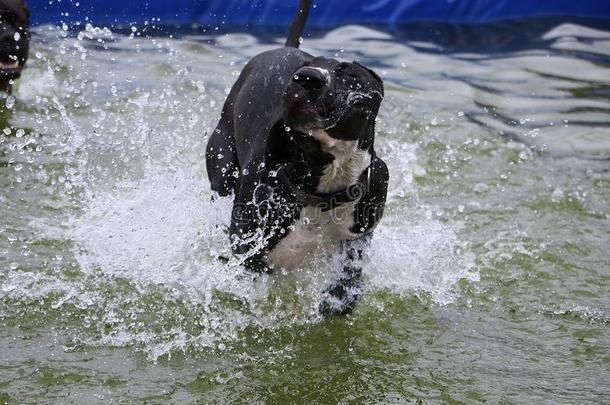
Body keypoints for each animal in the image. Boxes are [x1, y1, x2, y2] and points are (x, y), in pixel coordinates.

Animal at [204, 0, 384, 316]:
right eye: (299, 74)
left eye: (350, 75)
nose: (308, 77)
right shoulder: (248, 246)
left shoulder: (359, 234)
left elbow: (349, 276)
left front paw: (338, 299)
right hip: (222, 164)